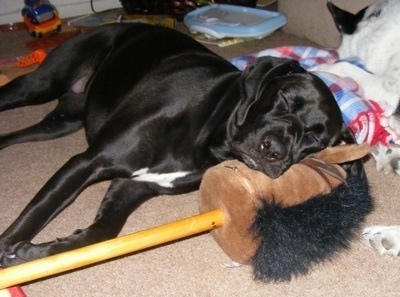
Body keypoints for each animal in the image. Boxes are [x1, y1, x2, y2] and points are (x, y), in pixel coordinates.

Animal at [0, 24, 356, 268]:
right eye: (284, 98)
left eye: (315, 140)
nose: (274, 151)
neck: (209, 133)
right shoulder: (88, 162)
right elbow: (35, 214)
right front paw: (11, 247)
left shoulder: (133, 185)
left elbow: (102, 232)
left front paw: (34, 253)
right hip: (39, 85)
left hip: (60, 122)